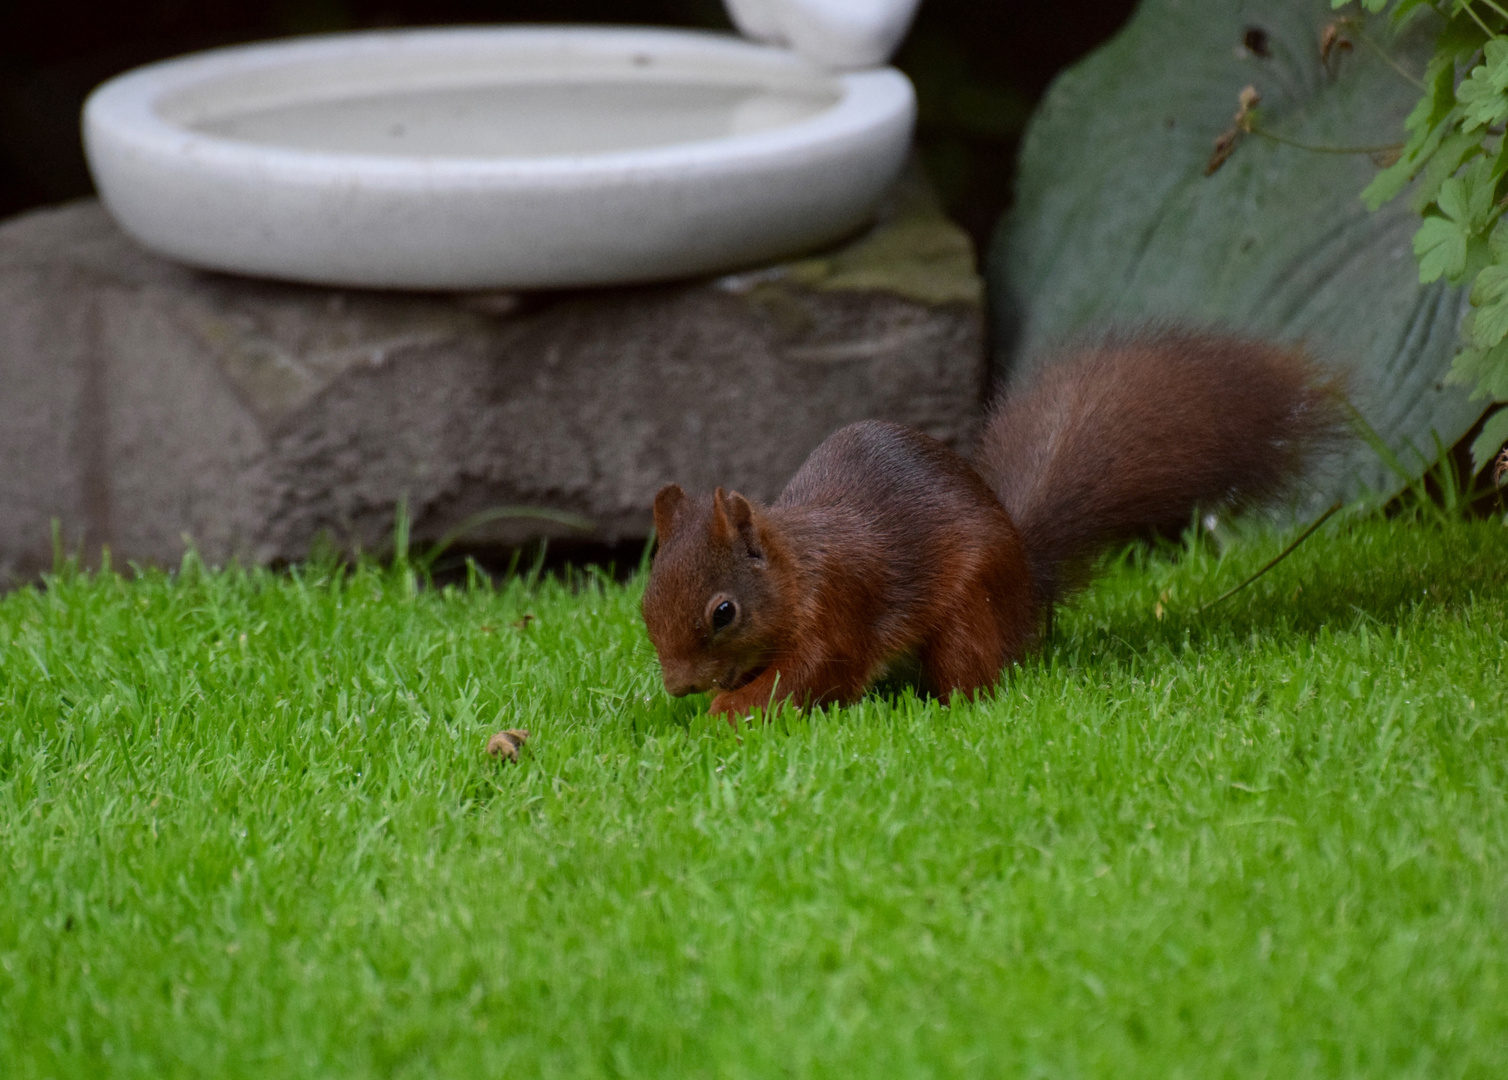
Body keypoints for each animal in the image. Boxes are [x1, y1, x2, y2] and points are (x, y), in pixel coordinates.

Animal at [642, 328, 1351, 717]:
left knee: (972, 672)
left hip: (971, 607)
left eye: (724, 612)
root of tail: (1026, 581)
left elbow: (810, 672)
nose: (678, 687)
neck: (796, 570)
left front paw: (728, 711)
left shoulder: (837, 609)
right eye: (646, 606)